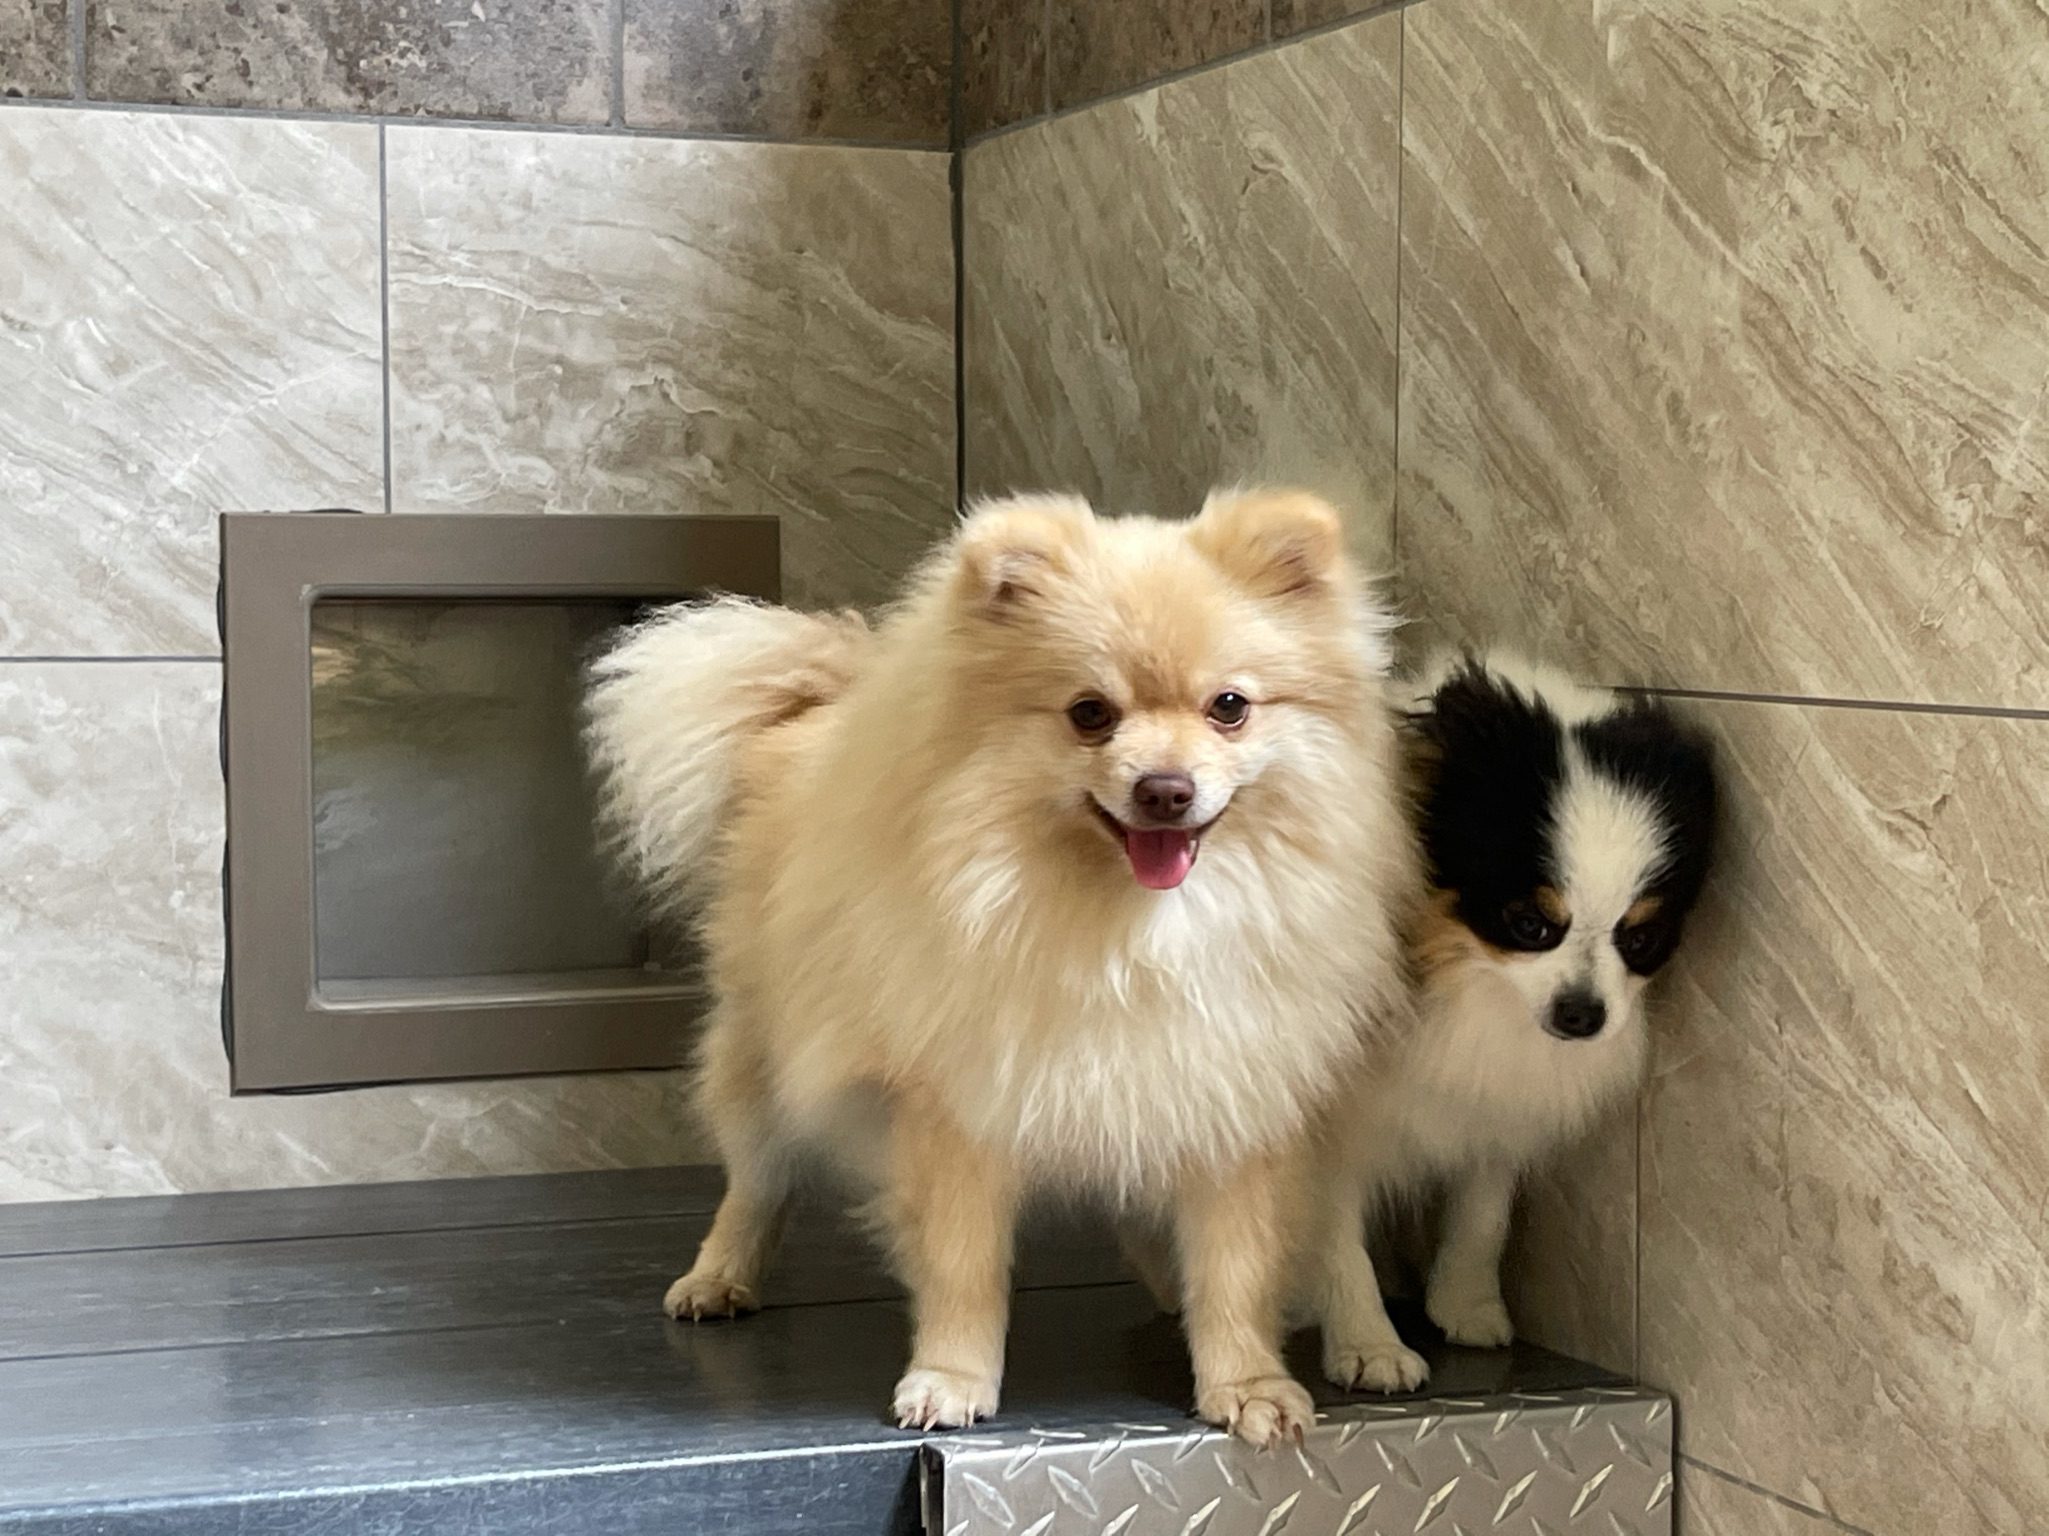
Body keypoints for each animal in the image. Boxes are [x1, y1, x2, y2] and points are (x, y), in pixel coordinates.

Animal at [586, 489, 1417, 1441]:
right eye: (1090, 713)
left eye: (1229, 707)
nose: (1164, 789)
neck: (1129, 933)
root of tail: (822, 706)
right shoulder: (959, 1107)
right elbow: (963, 1265)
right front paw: (951, 1377)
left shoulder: (1225, 1096)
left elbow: (1233, 1267)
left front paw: (1246, 1382)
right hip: (764, 1056)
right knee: (757, 1181)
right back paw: (719, 1275)